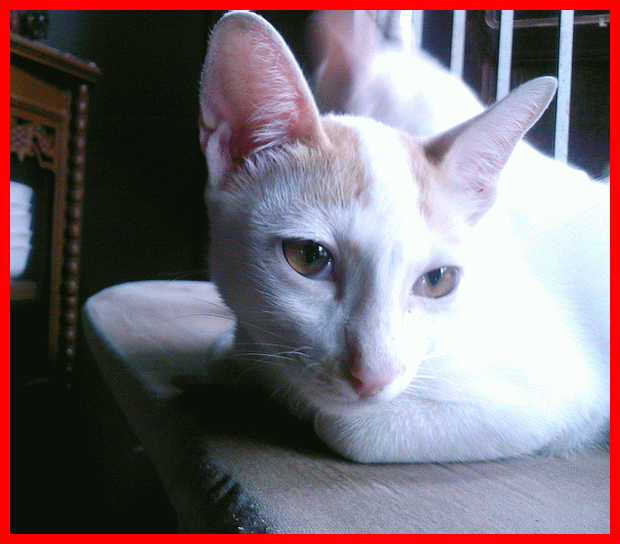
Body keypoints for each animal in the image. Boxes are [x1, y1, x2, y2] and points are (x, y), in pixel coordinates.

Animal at [198, 11, 609, 463]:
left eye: (438, 280)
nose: (374, 376)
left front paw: (295, 399)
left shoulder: (558, 397)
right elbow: (231, 352)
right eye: (309, 256)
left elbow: (346, 427)